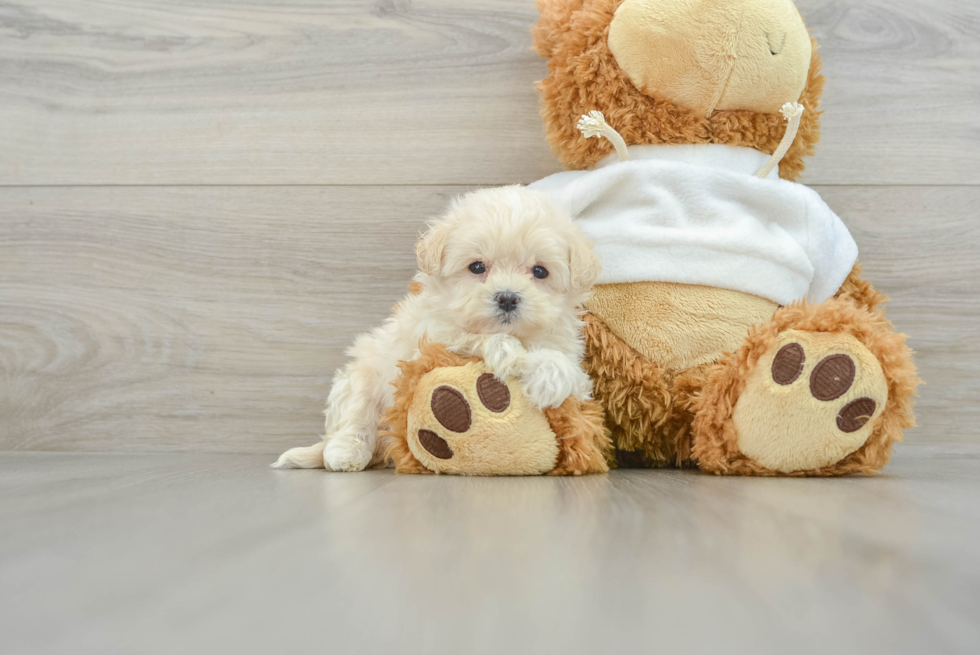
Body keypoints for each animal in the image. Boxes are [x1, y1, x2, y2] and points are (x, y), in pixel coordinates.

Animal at [272, 184, 600, 472]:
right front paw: (508, 352)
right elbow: (472, 336)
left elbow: (564, 367)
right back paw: (346, 454)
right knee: (355, 418)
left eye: (540, 271)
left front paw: (549, 378)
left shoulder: (567, 348)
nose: (507, 297)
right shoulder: (432, 336)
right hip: (362, 375)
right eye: (477, 267)